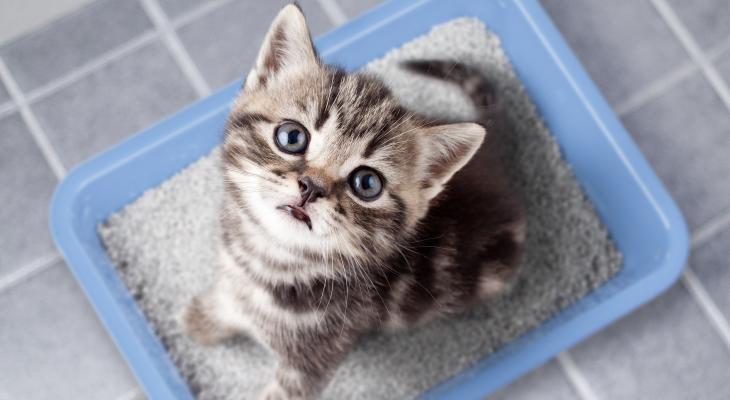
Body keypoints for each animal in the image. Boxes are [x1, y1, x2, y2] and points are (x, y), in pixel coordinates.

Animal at [182, 3, 524, 400]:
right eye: (291, 137)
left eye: (367, 183)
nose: (311, 187)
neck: (272, 260)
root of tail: (495, 155)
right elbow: (228, 298)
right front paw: (203, 318)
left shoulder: (315, 360)